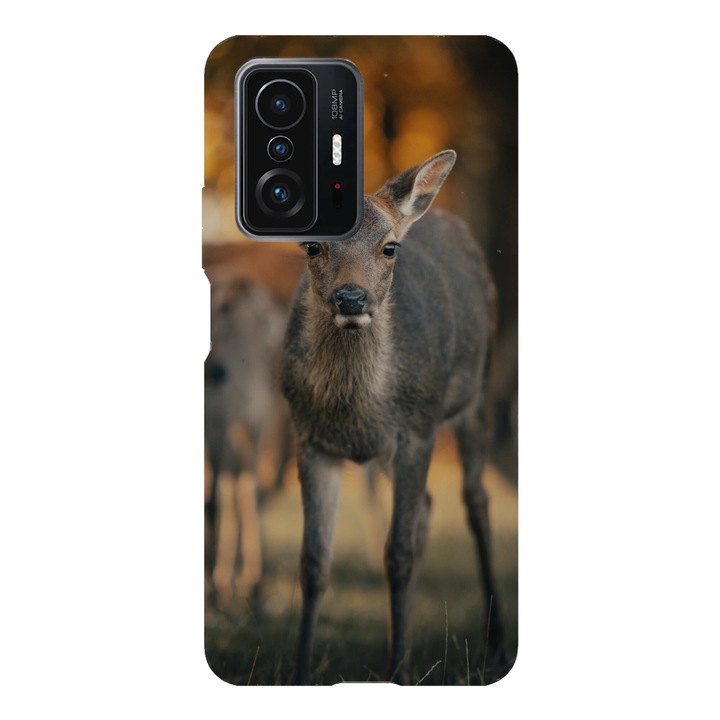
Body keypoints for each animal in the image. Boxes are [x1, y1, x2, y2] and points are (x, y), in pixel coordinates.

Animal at [280, 150, 508, 684]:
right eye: (312, 245)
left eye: (388, 249)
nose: (351, 298)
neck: (356, 412)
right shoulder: (309, 436)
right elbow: (313, 563)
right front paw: (299, 673)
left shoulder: (417, 431)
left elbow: (397, 555)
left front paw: (400, 672)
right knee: (426, 506)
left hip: (476, 393)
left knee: (476, 501)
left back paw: (493, 641)